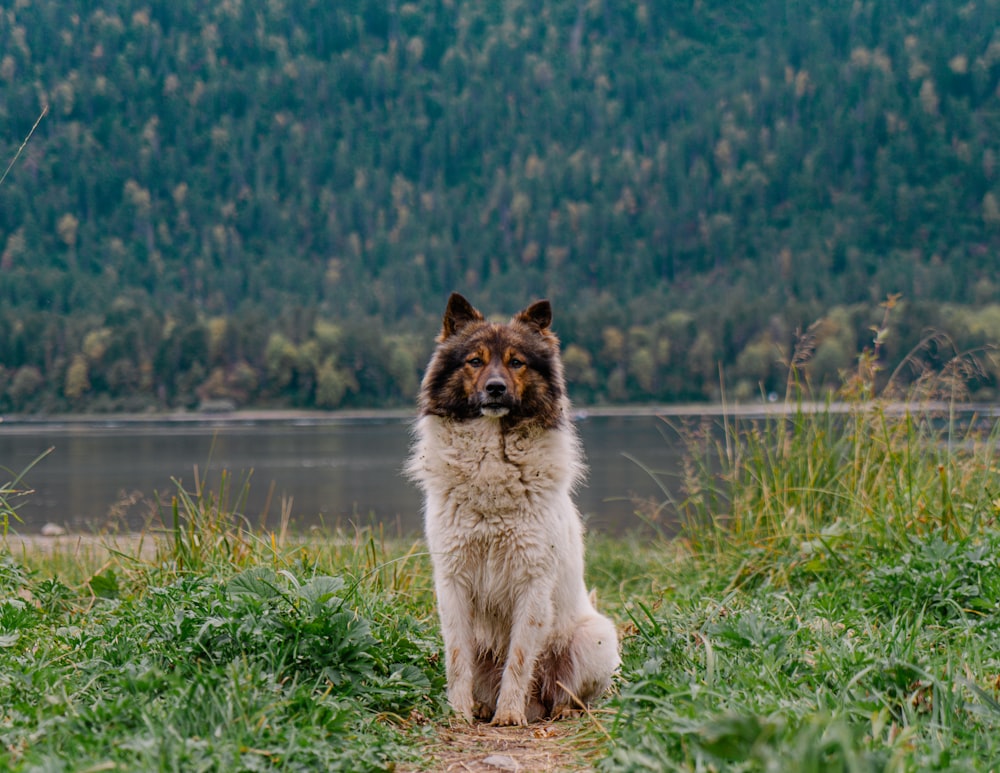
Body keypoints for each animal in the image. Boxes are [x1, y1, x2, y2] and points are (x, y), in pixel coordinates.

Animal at [406, 292, 616, 728]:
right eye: (475, 360)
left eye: (516, 362)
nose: (496, 388)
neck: (491, 463)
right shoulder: (452, 580)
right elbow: (457, 658)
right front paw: (459, 711)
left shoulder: (532, 582)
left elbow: (519, 659)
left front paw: (509, 714)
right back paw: (484, 706)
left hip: (595, 638)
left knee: (564, 694)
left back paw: (553, 710)